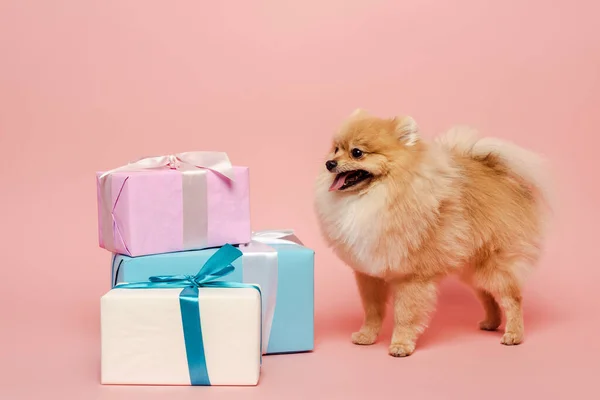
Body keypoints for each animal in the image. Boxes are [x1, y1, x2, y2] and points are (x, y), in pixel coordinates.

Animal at [314, 108, 552, 356]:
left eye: (357, 153)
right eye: (336, 149)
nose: (329, 163)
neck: (376, 196)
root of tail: (499, 173)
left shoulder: (411, 276)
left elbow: (405, 315)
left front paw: (401, 344)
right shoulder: (369, 274)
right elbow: (372, 311)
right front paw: (367, 336)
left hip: (495, 264)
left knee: (512, 298)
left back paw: (514, 334)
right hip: (472, 267)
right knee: (487, 294)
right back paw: (490, 323)